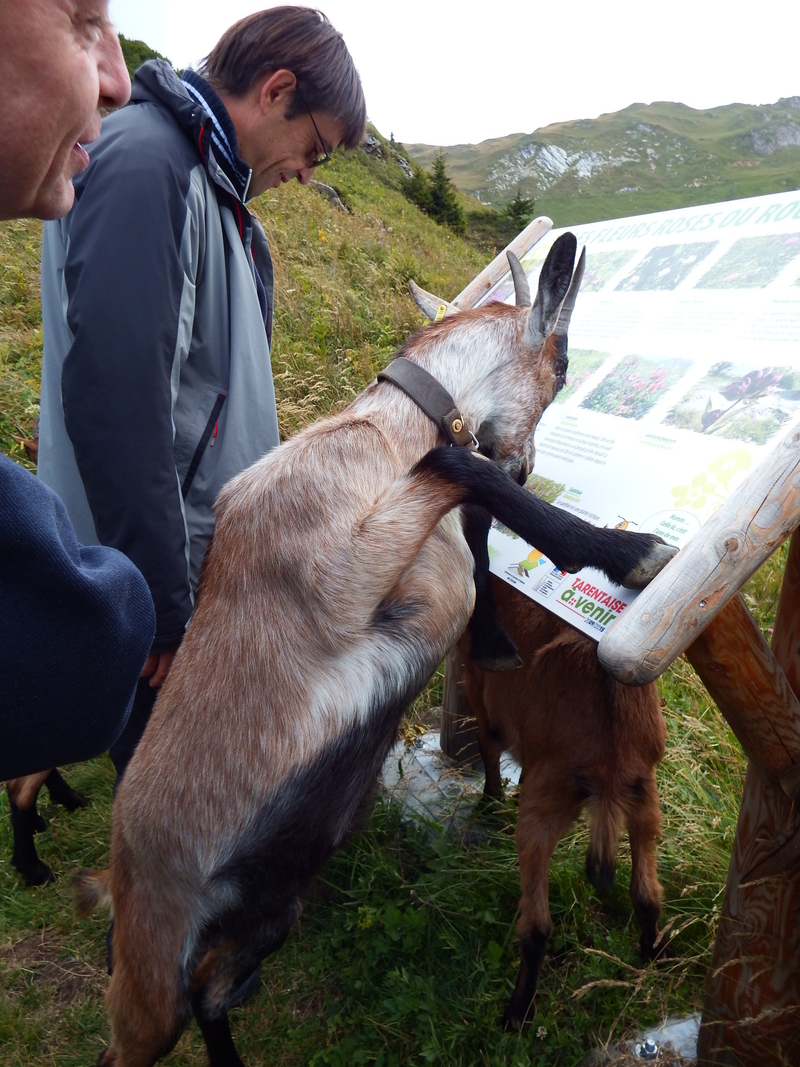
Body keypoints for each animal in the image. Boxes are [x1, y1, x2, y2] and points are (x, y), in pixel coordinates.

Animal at [73, 235, 678, 1067]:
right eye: (561, 369)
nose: (526, 462)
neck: (380, 435)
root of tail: (120, 869)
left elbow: (472, 513)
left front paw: (496, 639)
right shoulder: (335, 576)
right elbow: (459, 469)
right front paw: (632, 552)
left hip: (271, 904)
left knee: (211, 991)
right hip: (150, 979)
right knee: (149, 1024)